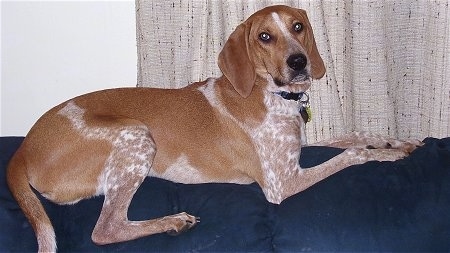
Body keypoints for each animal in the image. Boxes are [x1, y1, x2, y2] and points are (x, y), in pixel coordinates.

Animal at [7, 4, 422, 252]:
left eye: (298, 27)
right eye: (264, 37)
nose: (299, 62)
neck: (270, 93)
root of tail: (22, 151)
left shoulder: (300, 149)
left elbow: (354, 135)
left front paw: (397, 140)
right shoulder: (281, 183)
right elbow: (352, 153)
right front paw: (387, 155)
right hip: (136, 135)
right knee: (106, 229)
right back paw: (173, 222)